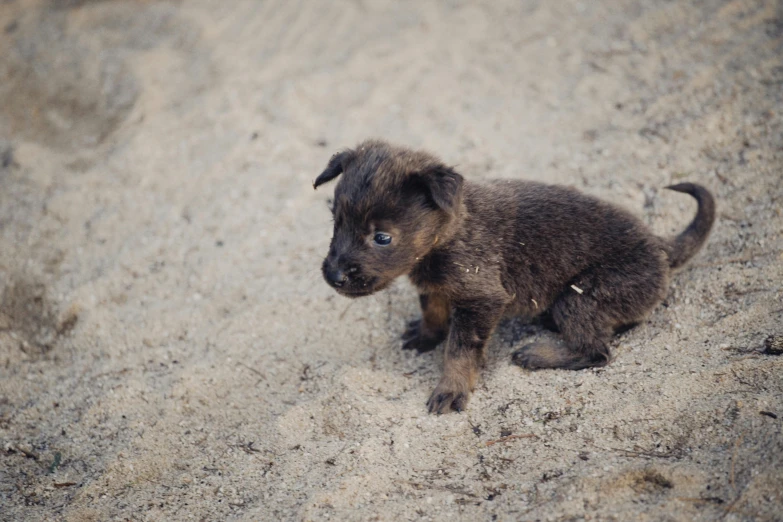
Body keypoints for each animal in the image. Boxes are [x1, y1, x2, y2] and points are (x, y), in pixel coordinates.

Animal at [312, 140, 716, 412]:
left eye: (382, 237)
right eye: (335, 222)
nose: (333, 276)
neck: (453, 230)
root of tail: (660, 247)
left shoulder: (481, 300)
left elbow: (459, 350)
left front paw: (451, 390)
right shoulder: (438, 288)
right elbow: (433, 314)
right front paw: (426, 337)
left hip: (579, 297)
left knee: (596, 350)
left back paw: (538, 354)